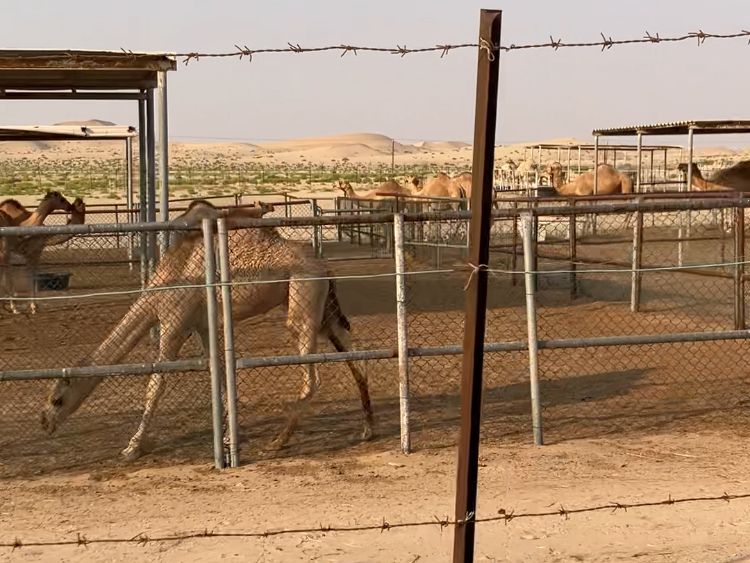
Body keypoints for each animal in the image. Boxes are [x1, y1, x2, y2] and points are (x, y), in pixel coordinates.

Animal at [41, 199, 374, 462]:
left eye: (57, 399)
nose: (45, 422)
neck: (166, 279)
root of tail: (325, 267)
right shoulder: (202, 326)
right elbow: (220, 375)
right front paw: (227, 438)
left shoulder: (174, 323)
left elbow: (155, 383)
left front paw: (132, 447)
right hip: (322, 307)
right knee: (356, 358)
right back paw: (367, 429)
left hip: (303, 291)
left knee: (311, 374)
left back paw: (278, 441)